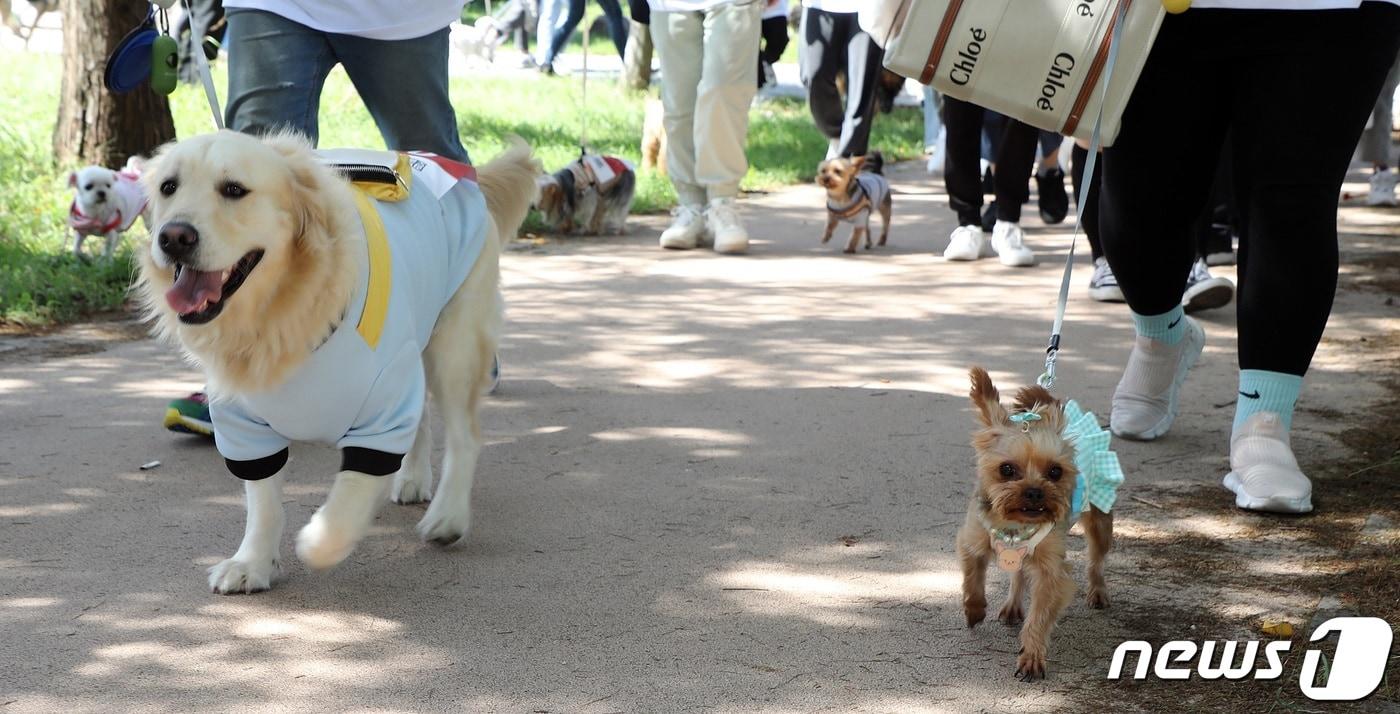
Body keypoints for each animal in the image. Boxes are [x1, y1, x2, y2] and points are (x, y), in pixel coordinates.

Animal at [133, 130, 540, 593]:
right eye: (168, 187)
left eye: (234, 189)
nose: (173, 237)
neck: (280, 317)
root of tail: (460, 173)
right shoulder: (244, 426)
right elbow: (263, 501)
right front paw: (251, 562)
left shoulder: (383, 408)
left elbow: (346, 502)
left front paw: (318, 542)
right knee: (422, 417)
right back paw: (412, 479)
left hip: (454, 347)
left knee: (465, 436)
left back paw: (448, 516)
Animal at [957, 366, 1108, 680]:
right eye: (1006, 469)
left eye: (1055, 471)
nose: (1035, 491)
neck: (1014, 524)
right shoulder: (972, 540)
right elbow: (973, 577)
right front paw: (974, 610)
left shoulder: (1051, 572)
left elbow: (1039, 616)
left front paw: (1031, 656)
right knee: (1018, 574)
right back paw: (1012, 606)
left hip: (1100, 517)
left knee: (1096, 559)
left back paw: (1098, 591)